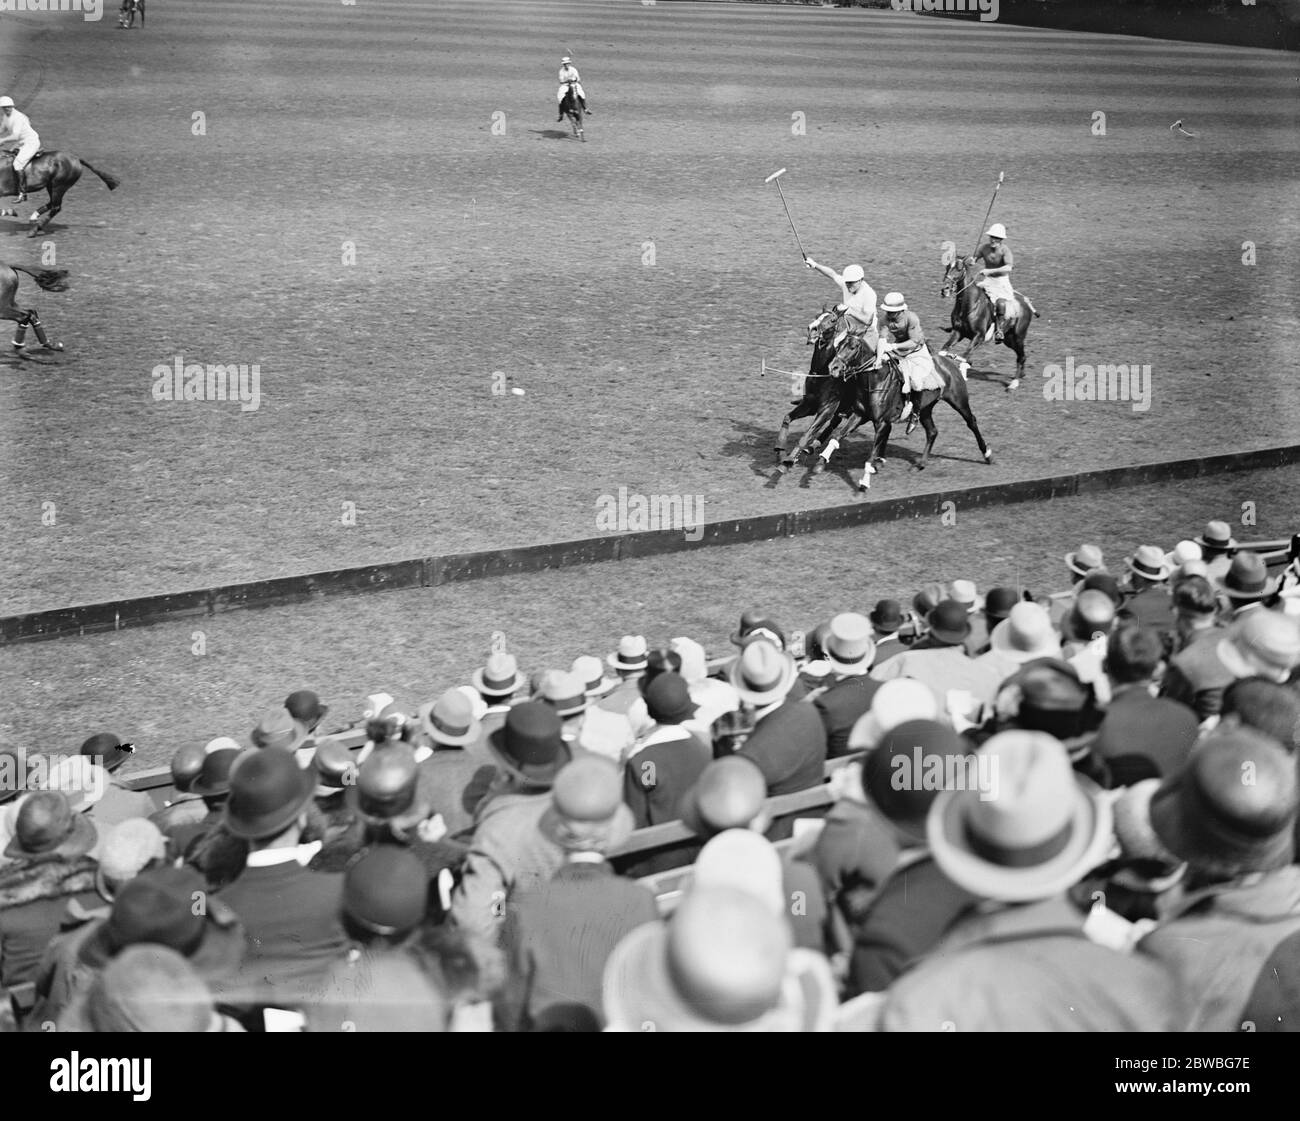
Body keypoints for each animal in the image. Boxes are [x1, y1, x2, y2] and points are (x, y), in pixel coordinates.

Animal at [769, 306, 863, 473]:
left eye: (832, 320)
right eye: (817, 316)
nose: (812, 329)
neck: (822, 374)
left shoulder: (826, 410)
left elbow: (806, 435)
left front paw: (788, 461)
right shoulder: (809, 405)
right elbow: (787, 418)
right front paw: (780, 451)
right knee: (833, 425)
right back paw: (813, 448)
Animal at [816, 335, 987, 488]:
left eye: (852, 348)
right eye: (838, 346)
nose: (833, 367)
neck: (875, 380)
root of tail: (949, 362)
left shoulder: (881, 423)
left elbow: (872, 454)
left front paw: (865, 482)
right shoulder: (860, 415)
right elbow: (837, 436)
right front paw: (821, 461)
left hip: (959, 401)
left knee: (971, 422)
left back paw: (987, 454)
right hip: (926, 409)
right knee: (932, 432)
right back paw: (920, 464)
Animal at [941, 245, 1040, 390]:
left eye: (959, 268)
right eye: (947, 267)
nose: (945, 289)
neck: (969, 305)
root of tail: (1026, 302)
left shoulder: (979, 336)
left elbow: (964, 356)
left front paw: (964, 370)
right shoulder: (958, 332)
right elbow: (944, 351)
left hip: (1018, 336)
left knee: (1021, 356)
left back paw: (1014, 383)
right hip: (1009, 339)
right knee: (1022, 355)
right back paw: (1022, 375)